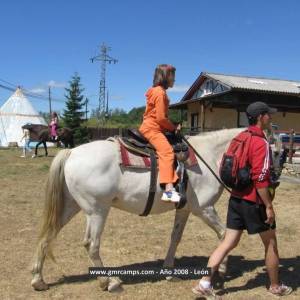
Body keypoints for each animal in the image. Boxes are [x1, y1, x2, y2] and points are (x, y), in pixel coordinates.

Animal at [30, 128, 282, 292]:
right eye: (276, 152)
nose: (274, 180)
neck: (208, 156)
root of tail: (71, 152)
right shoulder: (205, 209)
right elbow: (223, 235)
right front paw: (220, 269)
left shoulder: (185, 210)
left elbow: (175, 237)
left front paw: (169, 270)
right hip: (97, 210)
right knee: (91, 244)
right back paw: (108, 281)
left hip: (71, 206)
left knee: (46, 237)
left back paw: (38, 280)